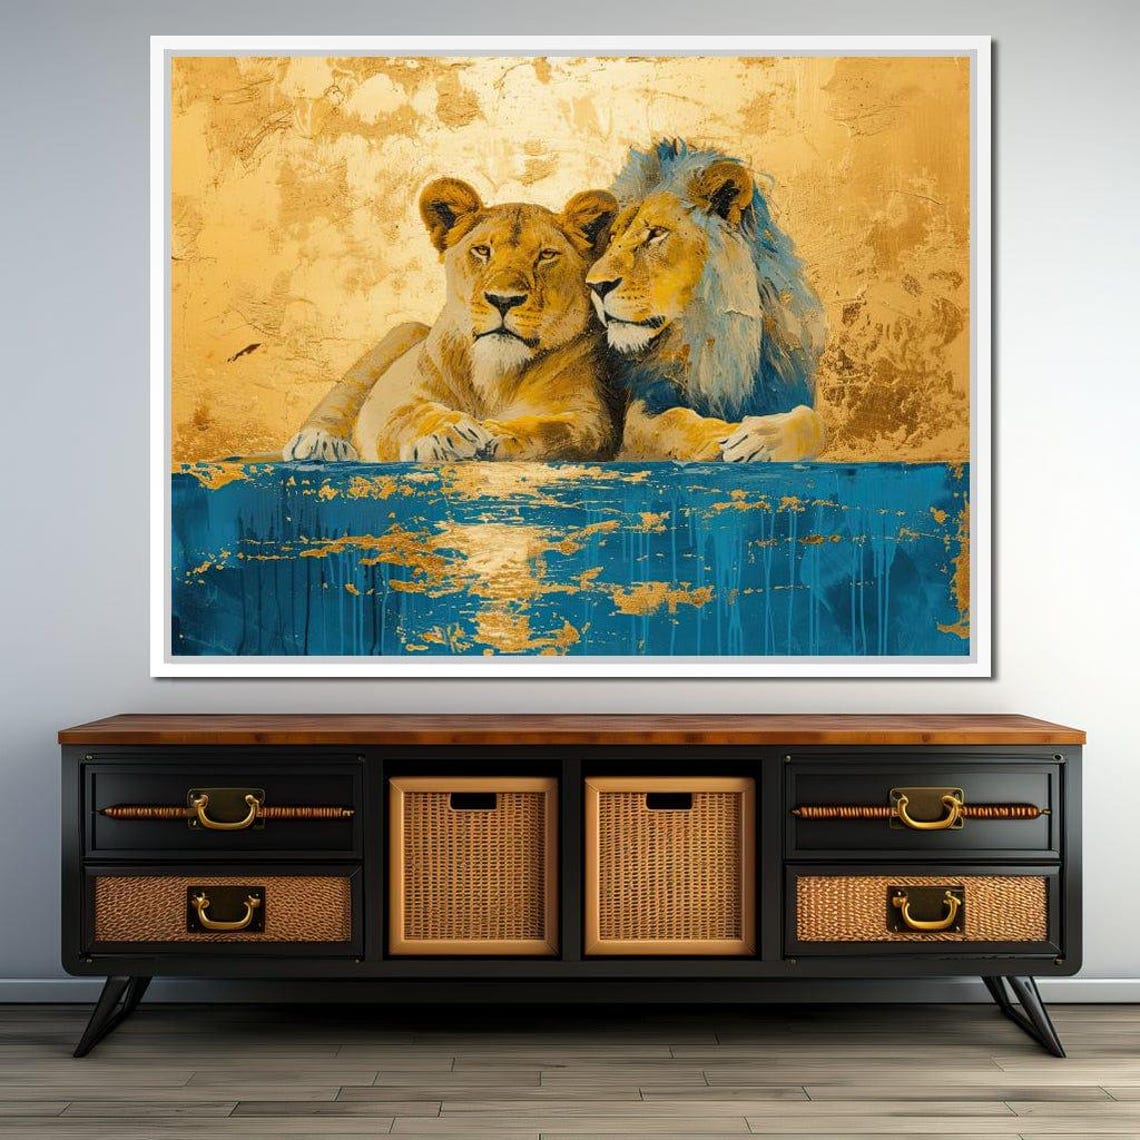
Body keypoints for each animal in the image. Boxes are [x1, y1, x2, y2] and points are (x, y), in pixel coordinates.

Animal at [283, 177, 619, 463]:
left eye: (546, 255)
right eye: (482, 250)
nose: (503, 299)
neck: (496, 375)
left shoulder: (590, 416)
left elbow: (560, 431)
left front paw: (498, 432)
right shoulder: (396, 401)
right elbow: (411, 416)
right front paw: (447, 432)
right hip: (394, 340)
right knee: (338, 403)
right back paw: (320, 442)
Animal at [585, 140, 826, 462]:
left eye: (656, 233)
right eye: (613, 237)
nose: (595, 285)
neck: (709, 341)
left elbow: (813, 421)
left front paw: (761, 436)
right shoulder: (640, 411)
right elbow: (671, 422)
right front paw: (729, 435)